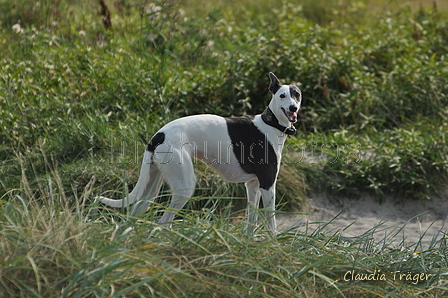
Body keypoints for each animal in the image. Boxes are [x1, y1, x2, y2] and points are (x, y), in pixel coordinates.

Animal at [97, 72, 300, 233]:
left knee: (134, 216)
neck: (270, 123)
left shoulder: (252, 186)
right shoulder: (268, 185)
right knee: (164, 222)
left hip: (151, 188)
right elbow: (271, 224)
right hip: (184, 186)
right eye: (282, 95)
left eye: (296, 95)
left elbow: (251, 222)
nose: (293, 108)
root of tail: (158, 136)